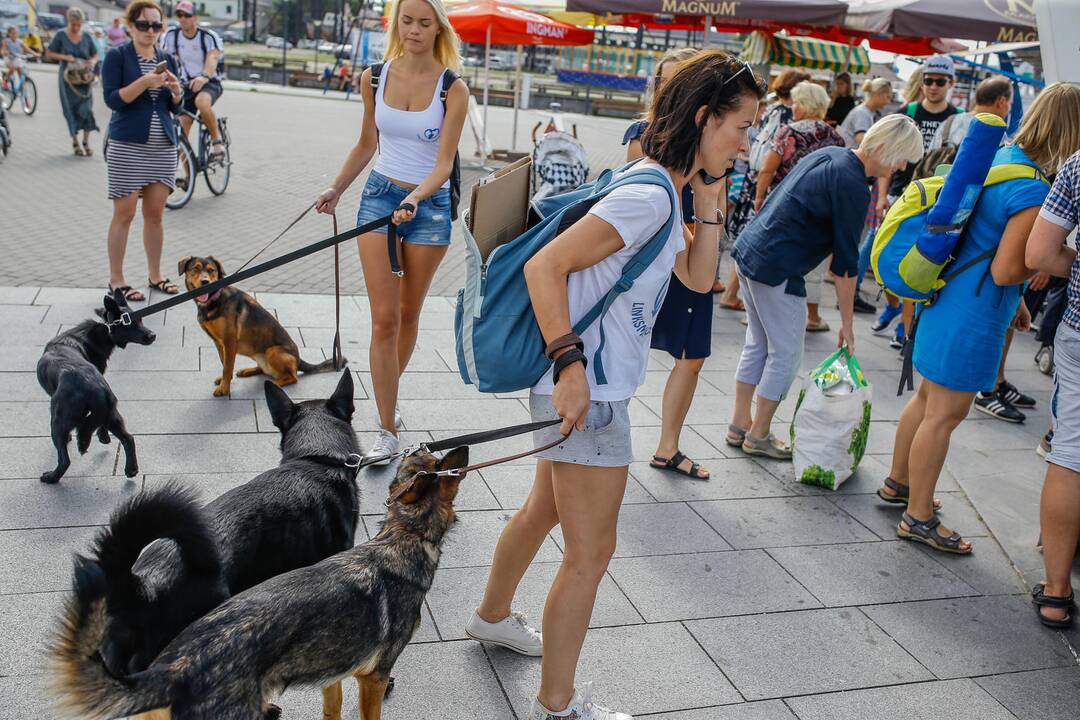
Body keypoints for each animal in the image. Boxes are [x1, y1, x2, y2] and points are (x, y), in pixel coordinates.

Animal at [35, 291, 156, 483]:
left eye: (141, 320)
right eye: (133, 322)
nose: (152, 335)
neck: (103, 329)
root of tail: (96, 389)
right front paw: (103, 437)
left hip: (57, 420)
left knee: (64, 459)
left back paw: (52, 477)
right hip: (112, 414)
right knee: (128, 438)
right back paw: (131, 469)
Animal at [179, 255, 343, 397]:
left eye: (212, 270)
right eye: (195, 268)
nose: (205, 282)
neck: (214, 298)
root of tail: (298, 359)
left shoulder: (229, 341)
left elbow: (228, 366)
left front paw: (224, 388)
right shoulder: (219, 343)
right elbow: (224, 363)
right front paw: (224, 381)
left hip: (273, 351)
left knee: (292, 377)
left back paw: (274, 384)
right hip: (255, 349)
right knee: (264, 369)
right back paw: (248, 371)